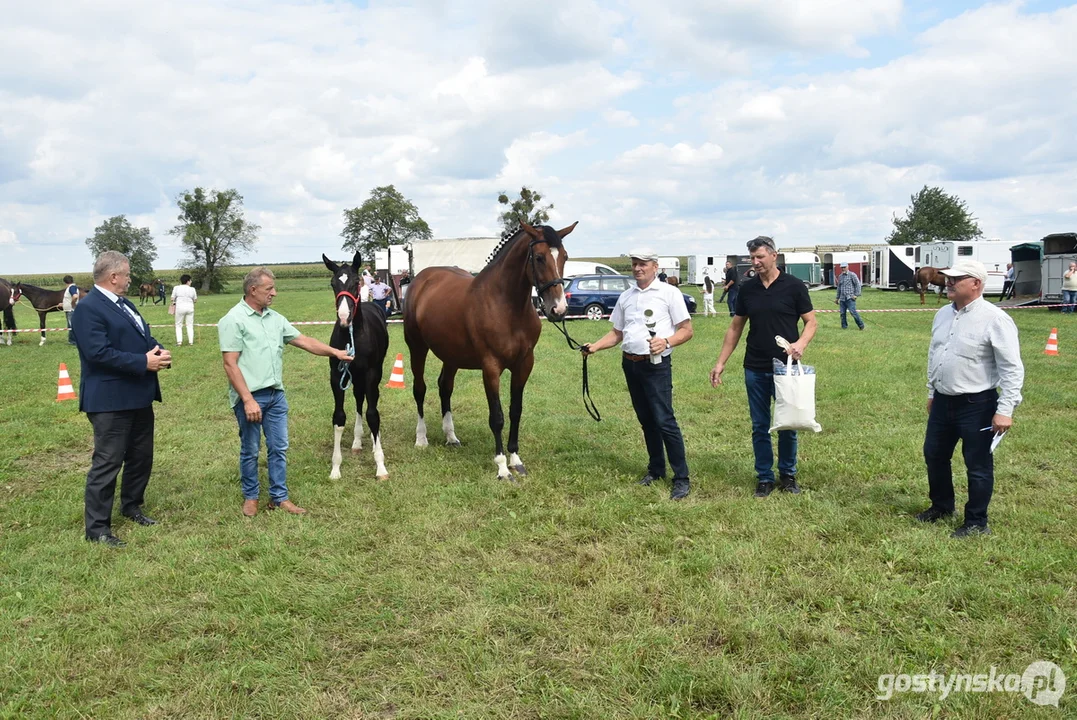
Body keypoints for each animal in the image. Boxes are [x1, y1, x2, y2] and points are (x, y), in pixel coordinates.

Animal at [323, 249, 392, 479]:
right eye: (333, 283)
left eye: (355, 282)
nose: (344, 318)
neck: (353, 336)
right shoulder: (337, 375)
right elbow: (339, 416)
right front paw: (335, 468)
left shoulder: (371, 373)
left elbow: (373, 414)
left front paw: (380, 466)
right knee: (359, 400)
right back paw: (356, 441)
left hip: (373, 374)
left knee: (371, 402)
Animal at [402, 219, 577, 477]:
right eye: (539, 257)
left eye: (564, 256)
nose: (559, 309)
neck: (506, 306)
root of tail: (421, 279)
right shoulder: (491, 367)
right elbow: (497, 416)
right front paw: (502, 467)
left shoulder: (524, 365)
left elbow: (516, 411)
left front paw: (516, 460)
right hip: (417, 347)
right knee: (420, 389)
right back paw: (421, 439)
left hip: (451, 356)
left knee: (445, 387)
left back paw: (451, 437)